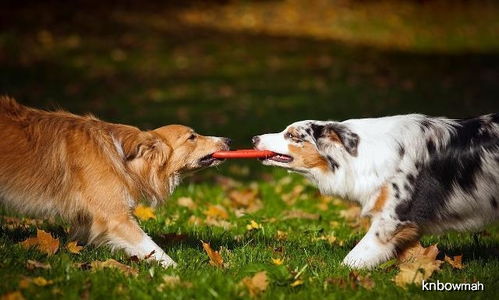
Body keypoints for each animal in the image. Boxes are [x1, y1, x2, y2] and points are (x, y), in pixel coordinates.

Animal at [0, 96, 230, 268]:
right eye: (192, 137)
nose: (228, 140)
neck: (124, 158)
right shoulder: (114, 217)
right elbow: (150, 246)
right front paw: (178, 270)